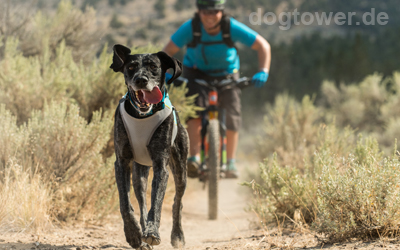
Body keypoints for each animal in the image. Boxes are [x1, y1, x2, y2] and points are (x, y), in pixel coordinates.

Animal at [109, 44, 189, 249]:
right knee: (142, 199)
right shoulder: (122, 162)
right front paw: (133, 234)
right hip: (139, 173)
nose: (141, 80)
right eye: (130, 67)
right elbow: (125, 203)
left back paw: (177, 235)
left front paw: (152, 232)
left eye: (153, 66)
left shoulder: (161, 164)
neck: (142, 116)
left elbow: (157, 202)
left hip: (180, 168)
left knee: (178, 201)